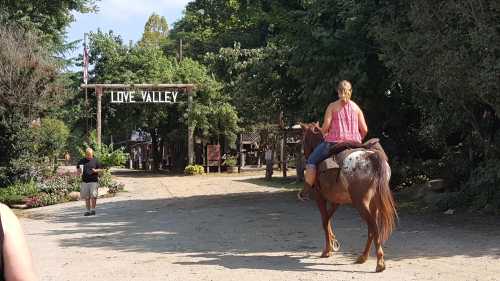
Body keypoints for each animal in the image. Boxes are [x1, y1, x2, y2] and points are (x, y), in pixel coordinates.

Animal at [298, 122, 396, 272]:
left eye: (303, 138)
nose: (303, 154)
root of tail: (372, 158)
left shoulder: (320, 198)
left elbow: (324, 221)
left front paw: (327, 250)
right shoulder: (336, 201)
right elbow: (328, 220)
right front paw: (333, 244)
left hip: (360, 203)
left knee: (373, 226)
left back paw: (379, 263)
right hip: (373, 203)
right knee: (371, 228)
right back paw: (363, 257)